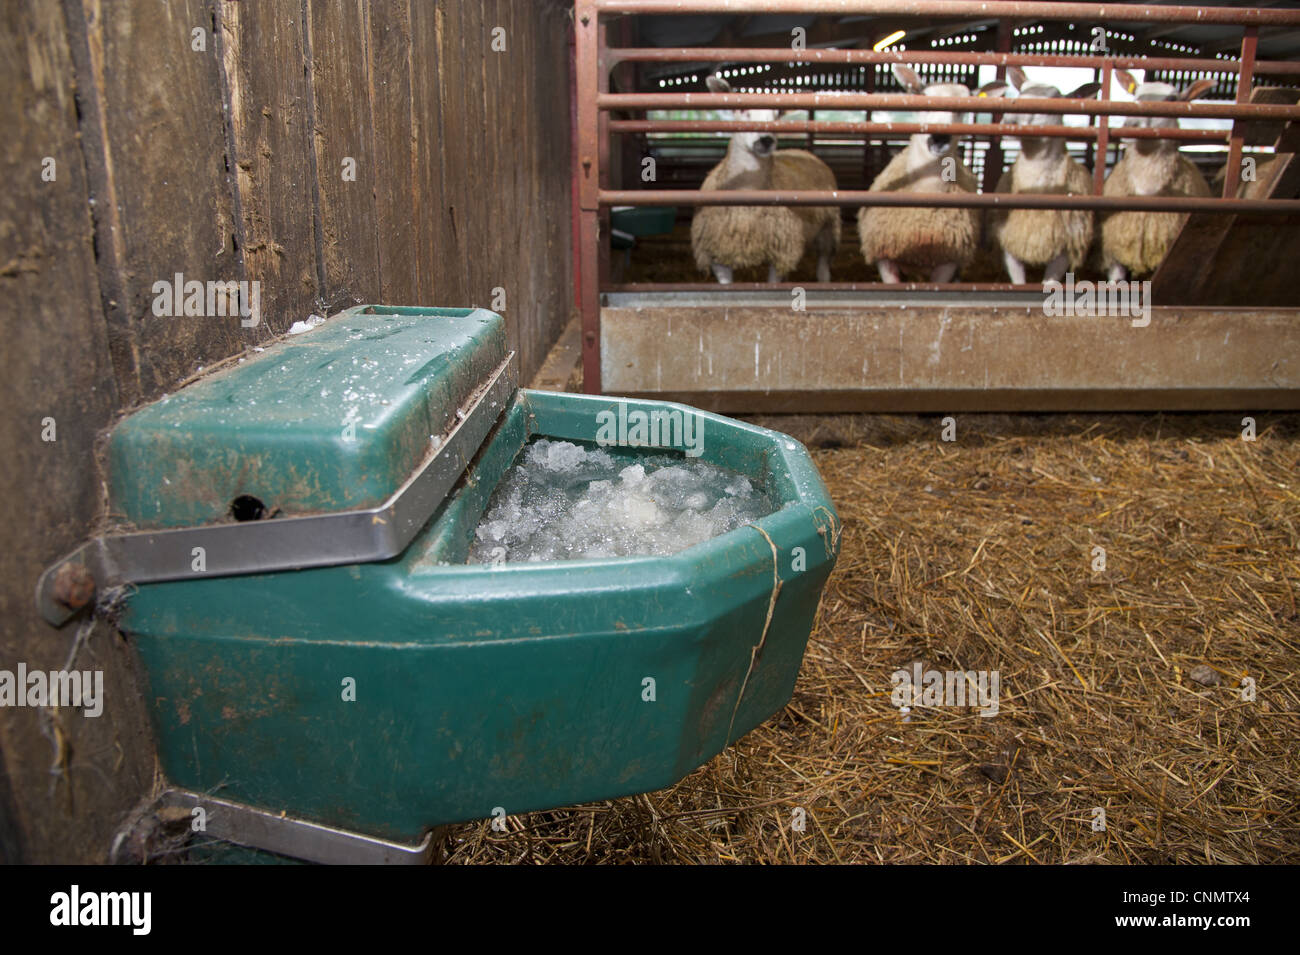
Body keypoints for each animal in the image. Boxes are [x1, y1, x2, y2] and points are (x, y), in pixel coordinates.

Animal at [691, 74, 842, 283]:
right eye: (742, 109)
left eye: (777, 113)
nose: (766, 140)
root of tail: (803, 151)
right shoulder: (717, 254)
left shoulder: (780, 251)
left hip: (828, 230)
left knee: (823, 270)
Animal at [987, 68, 1102, 283]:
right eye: (1020, 92)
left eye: (1054, 102)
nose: (1011, 119)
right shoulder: (1010, 243)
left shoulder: (1065, 248)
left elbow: (1049, 282)